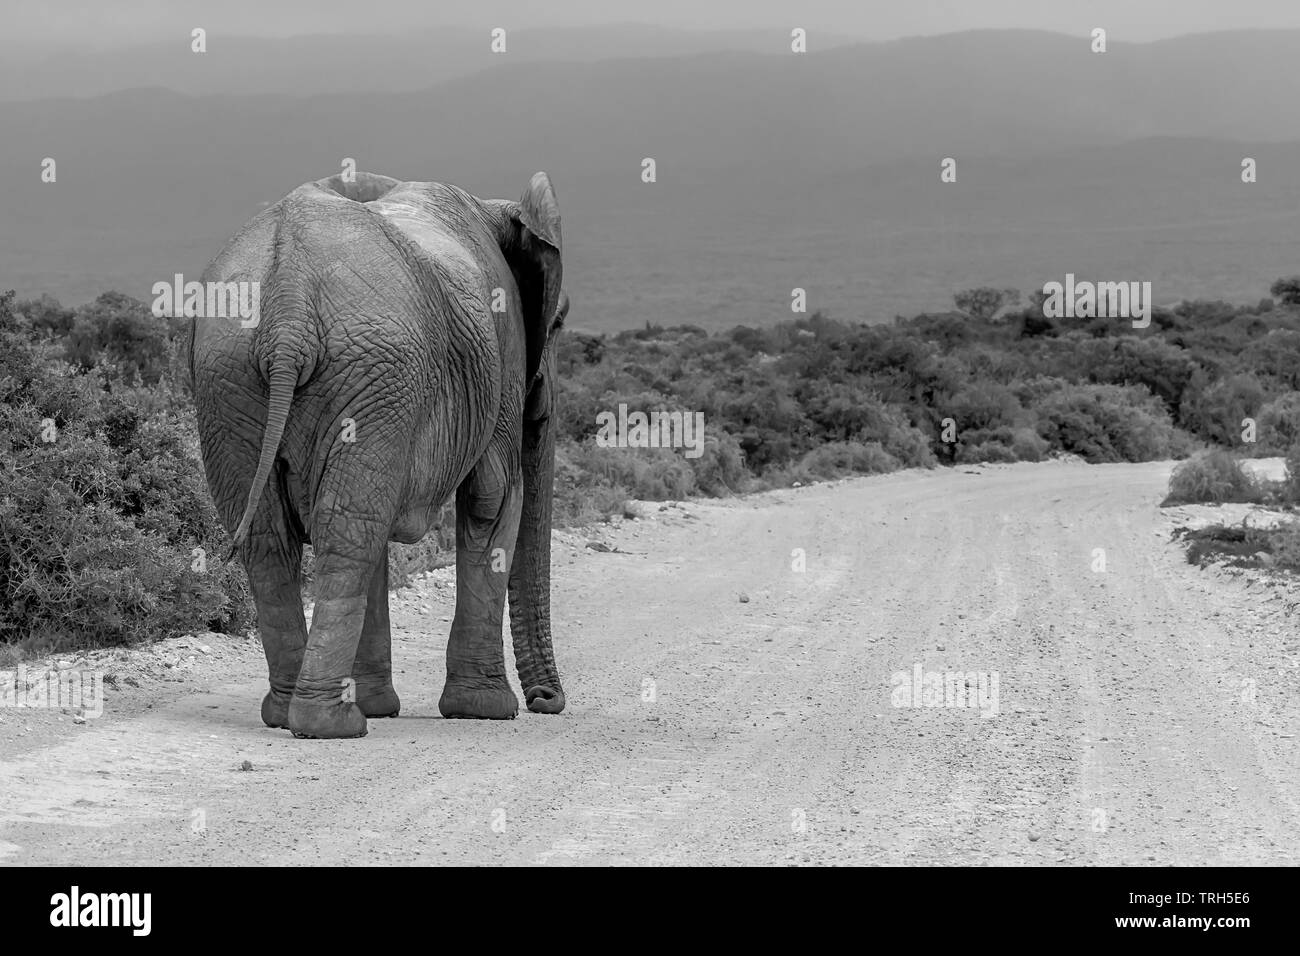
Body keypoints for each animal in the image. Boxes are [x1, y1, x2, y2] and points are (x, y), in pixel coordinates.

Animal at [189, 170, 569, 738]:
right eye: (559, 323)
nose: (547, 702)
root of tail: (288, 305)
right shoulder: (502, 354)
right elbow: (494, 500)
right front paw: (486, 709)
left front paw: (379, 703)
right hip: (364, 373)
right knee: (346, 531)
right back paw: (331, 723)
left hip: (233, 378)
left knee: (283, 536)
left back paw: (288, 714)